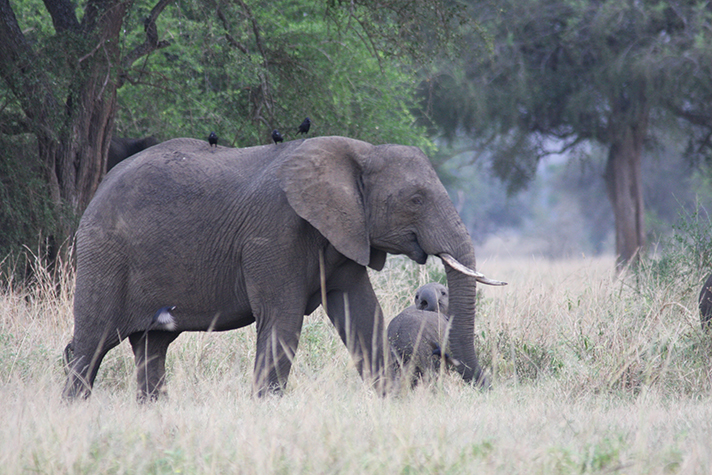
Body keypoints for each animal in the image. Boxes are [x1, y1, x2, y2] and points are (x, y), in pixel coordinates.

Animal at [62, 136, 505, 402]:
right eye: (416, 199)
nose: (489, 389)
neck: (357, 152)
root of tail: (97, 189)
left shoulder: (344, 233)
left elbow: (362, 314)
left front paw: (393, 398)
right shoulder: (275, 232)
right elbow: (283, 319)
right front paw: (265, 407)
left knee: (151, 346)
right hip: (105, 253)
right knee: (92, 341)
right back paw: (74, 407)